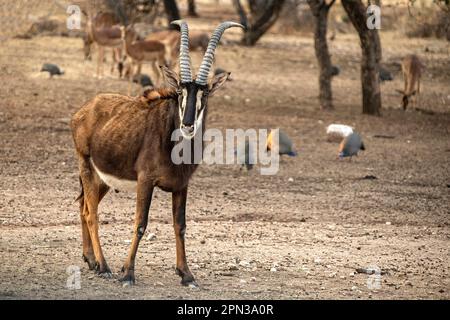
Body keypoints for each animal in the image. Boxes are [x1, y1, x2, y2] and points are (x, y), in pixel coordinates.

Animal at [71, 20, 244, 288]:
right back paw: (104, 266)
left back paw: (91, 261)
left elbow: (180, 225)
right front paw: (127, 273)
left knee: (84, 207)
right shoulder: (146, 181)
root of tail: (84, 110)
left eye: (204, 94)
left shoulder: (182, 185)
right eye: (180, 92)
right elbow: (140, 223)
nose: (187, 124)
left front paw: (187, 275)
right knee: (92, 214)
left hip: (103, 179)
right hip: (86, 166)